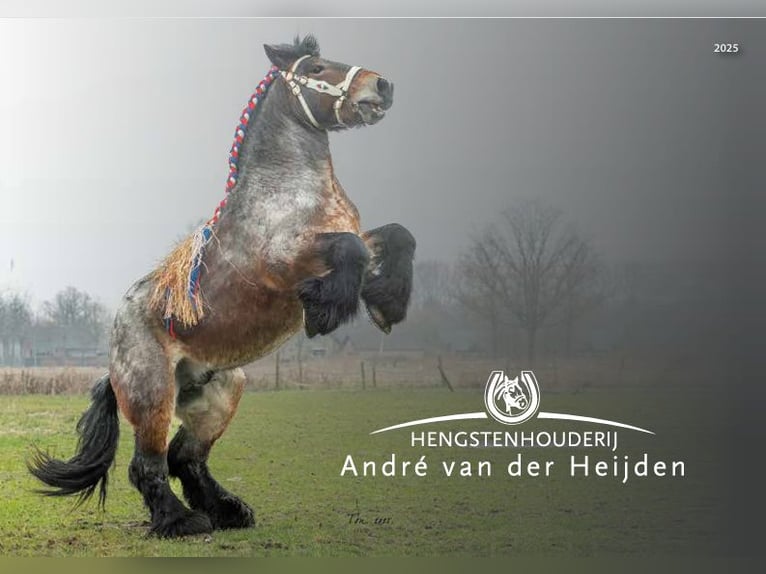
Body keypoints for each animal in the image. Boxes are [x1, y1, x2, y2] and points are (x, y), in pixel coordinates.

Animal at [28, 35, 415, 538]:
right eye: (315, 67)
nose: (381, 85)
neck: (286, 192)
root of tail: (114, 359)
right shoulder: (282, 260)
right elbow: (352, 248)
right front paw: (326, 311)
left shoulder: (348, 238)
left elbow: (394, 237)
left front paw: (388, 305)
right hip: (153, 397)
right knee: (147, 465)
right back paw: (181, 521)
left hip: (221, 394)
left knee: (185, 458)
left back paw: (229, 511)